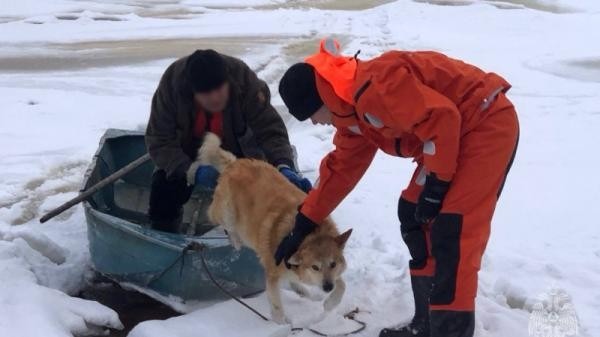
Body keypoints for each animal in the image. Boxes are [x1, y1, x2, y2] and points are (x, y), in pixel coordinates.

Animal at [192, 132, 352, 322]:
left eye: (333, 264)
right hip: (226, 212)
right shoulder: (272, 274)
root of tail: (235, 163)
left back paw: (303, 291)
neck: (305, 235)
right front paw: (281, 323)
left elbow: (342, 284)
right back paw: (236, 241)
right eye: (315, 267)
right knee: (222, 222)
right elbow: (276, 305)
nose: (327, 287)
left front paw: (330, 303)